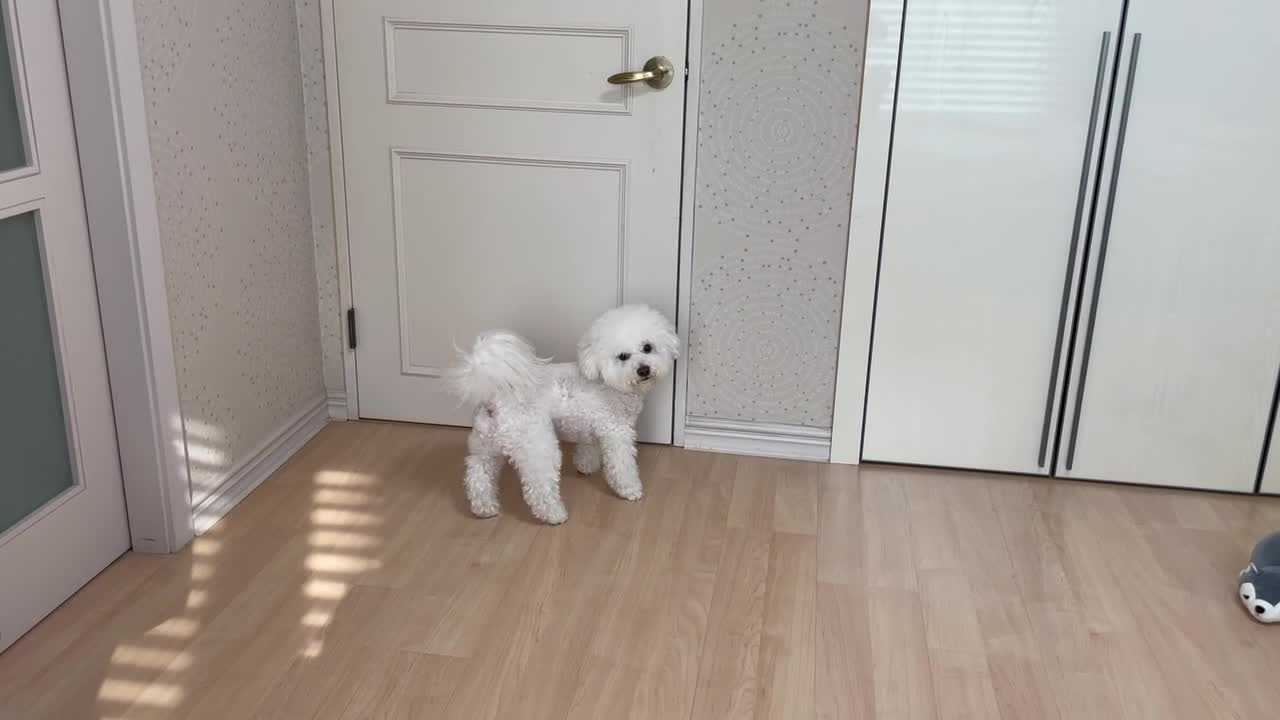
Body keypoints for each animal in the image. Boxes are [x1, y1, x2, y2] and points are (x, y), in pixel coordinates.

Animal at [448, 302, 675, 520]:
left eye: (647, 347)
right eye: (623, 356)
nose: (644, 370)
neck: (606, 381)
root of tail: (495, 396)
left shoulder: (592, 428)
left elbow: (588, 448)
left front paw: (586, 466)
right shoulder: (617, 433)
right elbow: (622, 466)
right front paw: (630, 490)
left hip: (485, 446)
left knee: (478, 475)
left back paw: (485, 508)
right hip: (537, 445)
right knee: (539, 487)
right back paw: (555, 515)